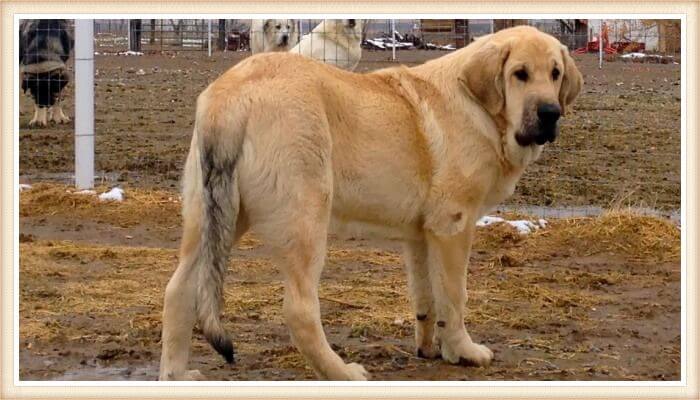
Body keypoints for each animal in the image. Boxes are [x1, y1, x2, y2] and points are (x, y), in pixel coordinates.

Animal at [161, 25, 584, 382]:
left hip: (215, 220)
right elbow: (454, 297)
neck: (478, 107)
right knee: (299, 310)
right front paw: (464, 351)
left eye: (555, 73)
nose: (550, 113)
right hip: (305, 221)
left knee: (178, 289)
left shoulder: (422, 236)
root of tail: (230, 97)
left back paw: (177, 376)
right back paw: (343, 373)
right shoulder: (453, 226)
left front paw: (431, 349)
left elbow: (427, 297)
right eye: (519, 74)